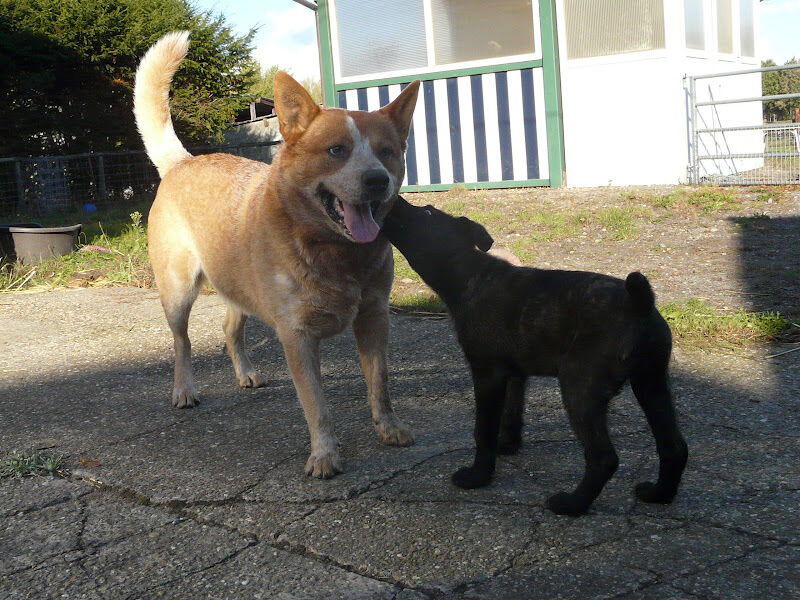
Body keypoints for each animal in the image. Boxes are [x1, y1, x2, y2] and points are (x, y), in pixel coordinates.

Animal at [133, 30, 418, 478]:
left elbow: (381, 383)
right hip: (178, 291)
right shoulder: (296, 336)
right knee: (182, 343)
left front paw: (389, 428)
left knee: (230, 329)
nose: (377, 180)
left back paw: (246, 373)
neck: (334, 253)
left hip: (238, 286)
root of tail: (182, 162)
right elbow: (316, 404)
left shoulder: (375, 318)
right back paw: (184, 390)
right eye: (336, 150)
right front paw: (324, 455)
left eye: (387, 151)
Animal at [382, 198, 688, 516]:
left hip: (580, 390)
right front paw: (507, 445)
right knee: (674, 446)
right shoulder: (515, 374)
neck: (470, 272)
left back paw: (572, 504)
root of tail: (638, 303)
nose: (394, 199)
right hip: (651, 384)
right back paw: (659, 493)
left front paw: (478, 476)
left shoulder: (487, 374)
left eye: (427, 212)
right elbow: (511, 413)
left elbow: (483, 429)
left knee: (604, 458)